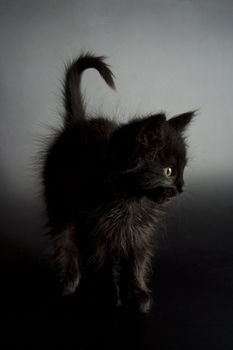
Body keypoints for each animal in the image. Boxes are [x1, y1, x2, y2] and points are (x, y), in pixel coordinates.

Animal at [42, 53, 195, 314]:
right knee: (64, 239)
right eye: (168, 171)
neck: (131, 199)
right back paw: (70, 279)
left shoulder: (140, 233)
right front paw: (110, 295)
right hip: (59, 204)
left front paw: (139, 294)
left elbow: (138, 262)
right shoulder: (99, 229)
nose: (181, 188)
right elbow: (104, 262)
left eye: (182, 170)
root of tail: (76, 124)